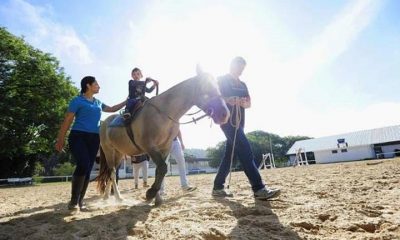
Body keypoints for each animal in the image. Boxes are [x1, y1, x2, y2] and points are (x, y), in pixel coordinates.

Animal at [97, 70, 230, 205]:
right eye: (207, 88)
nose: (225, 114)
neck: (163, 112)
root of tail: (104, 123)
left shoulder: (165, 147)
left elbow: (160, 170)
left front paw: (157, 197)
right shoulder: (149, 146)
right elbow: (162, 168)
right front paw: (150, 193)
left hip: (118, 153)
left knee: (110, 173)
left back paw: (107, 197)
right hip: (109, 151)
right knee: (112, 173)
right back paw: (118, 197)